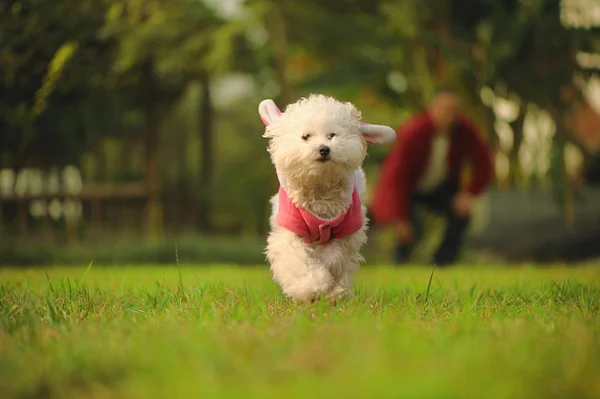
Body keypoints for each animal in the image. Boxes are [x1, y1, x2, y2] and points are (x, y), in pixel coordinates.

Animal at [258, 95, 398, 304]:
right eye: (306, 136)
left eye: (332, 135)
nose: (324, 149)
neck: (320, 186)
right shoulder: (289, 232)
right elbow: (297, 258)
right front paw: (311, 287)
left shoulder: (347, 231)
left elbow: (334, 256)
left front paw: (325, 278)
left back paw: (336, 294)